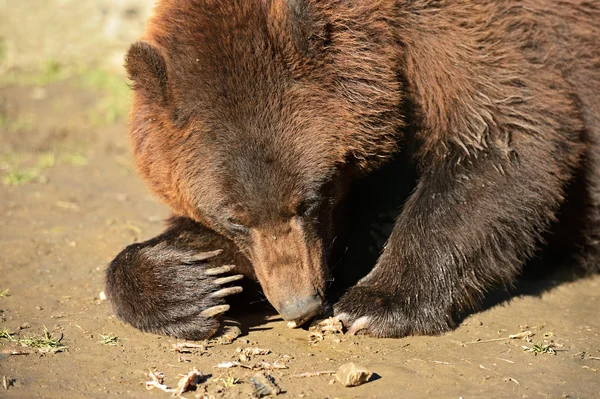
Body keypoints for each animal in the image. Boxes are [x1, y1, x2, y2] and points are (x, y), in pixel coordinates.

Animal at [105, 0, 600, 340]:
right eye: (233, 218)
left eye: (308, 199)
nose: (299, 304)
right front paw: (193, 284)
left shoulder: (461, 38)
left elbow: (502, 137)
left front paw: (374, 302)